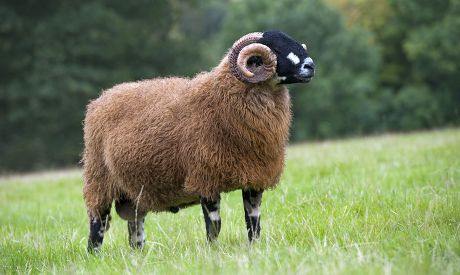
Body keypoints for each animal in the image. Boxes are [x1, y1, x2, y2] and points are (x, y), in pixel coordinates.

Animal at [82, 30, 314, 252]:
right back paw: (94, 255)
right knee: (97, 224)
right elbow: (214, 226)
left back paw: (138, 255)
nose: (310, 66)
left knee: (135, 229)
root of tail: (99, 99)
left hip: (134, 194)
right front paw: (213, 251)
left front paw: (254, 248)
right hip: (99, 180)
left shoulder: (254, 180)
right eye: (276, 49)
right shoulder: (205, 179)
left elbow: (254, 223)